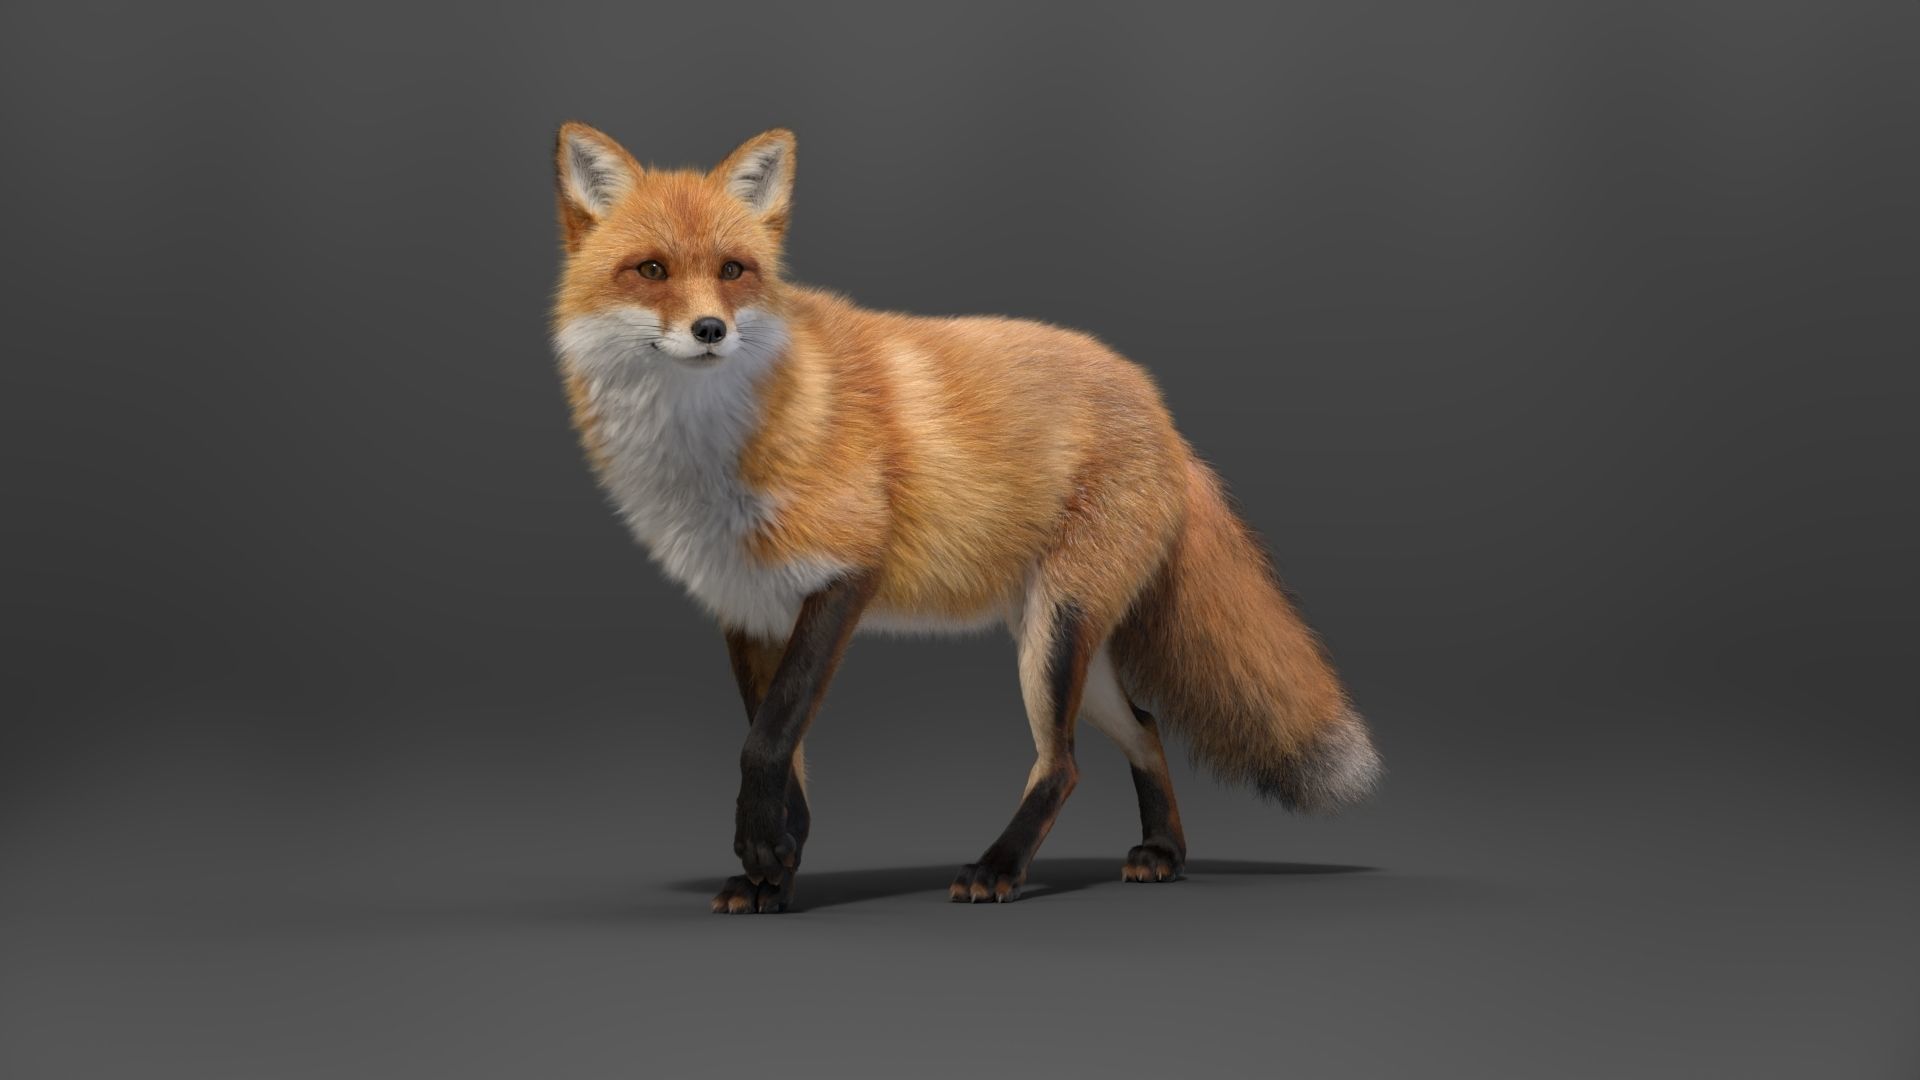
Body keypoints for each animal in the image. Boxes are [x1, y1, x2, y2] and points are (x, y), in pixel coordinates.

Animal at [548, 123, 1382, 914]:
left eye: (732, 271)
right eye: (651, 271)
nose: (712, 331)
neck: (713, 454)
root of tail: (1160, 411)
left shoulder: (844, 579)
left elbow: (767, 742)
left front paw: (763, 856)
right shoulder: (749, 612)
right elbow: (786, 760)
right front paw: (772, 874)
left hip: (1054, 638)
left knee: (1064, 763)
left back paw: (999, 868)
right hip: (1065, 643)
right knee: (1144, 726)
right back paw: (1164, 853)